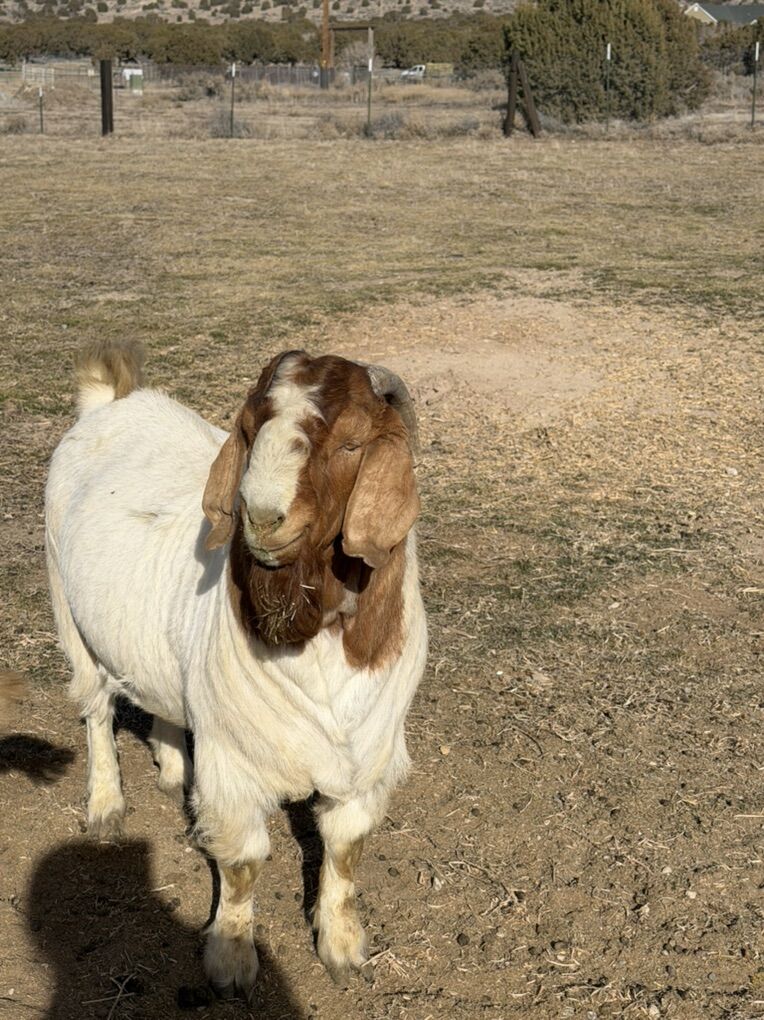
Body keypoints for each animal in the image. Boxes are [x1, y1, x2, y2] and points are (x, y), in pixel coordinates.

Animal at [45, 341, 427, 997]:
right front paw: (230, 961)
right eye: (248, 430)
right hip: (71, 618)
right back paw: (106, 805)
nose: (262, 516)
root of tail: (110, 402)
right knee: (96, 712)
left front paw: (343, 947)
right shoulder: (234, 760)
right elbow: (243, 863)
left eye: (353, 443)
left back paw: (173, 766)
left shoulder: (368, 754)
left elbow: (345, 849)